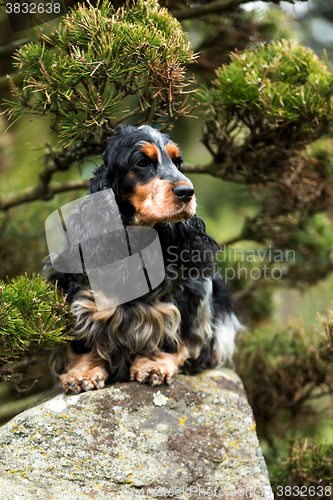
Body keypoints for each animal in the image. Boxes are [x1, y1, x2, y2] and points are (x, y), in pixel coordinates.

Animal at [48, 123, 241, 392]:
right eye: (142, 162)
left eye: (177, 162)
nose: (187, 192)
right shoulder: (82, 298)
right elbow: (85, 337)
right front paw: (83, 372)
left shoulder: (185, 298)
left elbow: (172, 332)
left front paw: (154, 365)